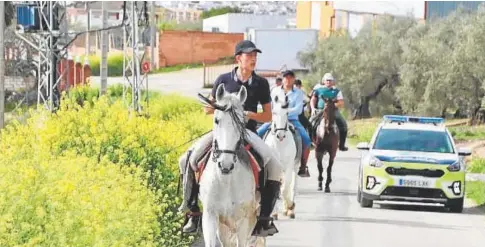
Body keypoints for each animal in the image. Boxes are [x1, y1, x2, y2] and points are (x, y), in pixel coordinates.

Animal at [200, 83, 266, 247]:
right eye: (216, 120)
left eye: (242, 123)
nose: (226, 164)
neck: (226, 181)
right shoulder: (211, 216)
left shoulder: (244, 220)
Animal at [260, 91, 298, 219]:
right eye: (274, 112)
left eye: (287, 113)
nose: (280, 135)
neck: (280, 144)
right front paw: (274, 213)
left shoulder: (289, 166)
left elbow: (285, 189)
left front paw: (290, 206)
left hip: (294, 167)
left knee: (292, 185)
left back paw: (290, 210)